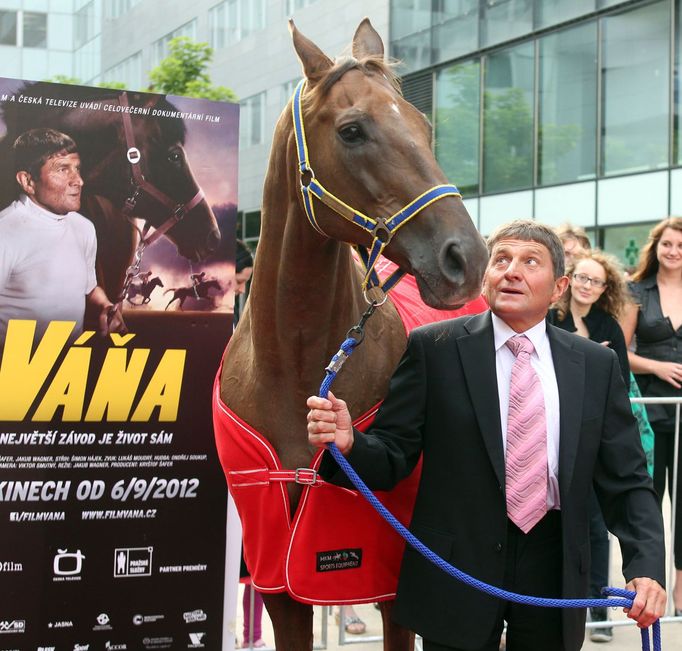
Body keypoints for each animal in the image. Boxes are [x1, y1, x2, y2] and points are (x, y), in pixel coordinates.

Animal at [215, 20, 486, 651]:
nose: (466, 257)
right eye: (352, 130)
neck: (292, 367)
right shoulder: (277, 578)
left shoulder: (392, 582)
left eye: (423, 127)